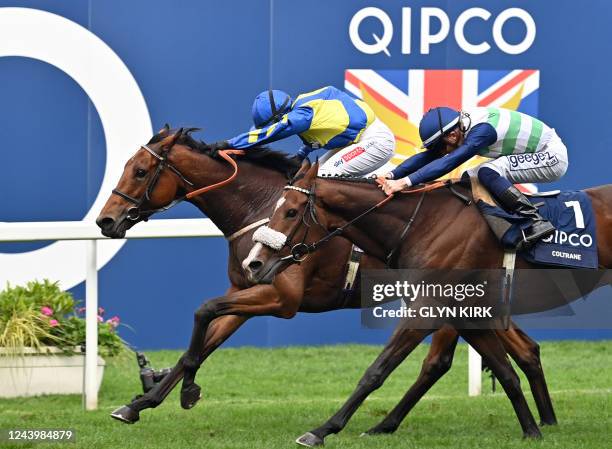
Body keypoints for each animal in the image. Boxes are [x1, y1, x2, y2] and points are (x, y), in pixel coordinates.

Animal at [97, 127, 560, 440]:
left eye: (140, 171)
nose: (105, 221)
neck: (263, 209)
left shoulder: (279, 297)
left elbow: (204, 314)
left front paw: (181, 392)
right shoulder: (246, 287)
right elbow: (202, 339)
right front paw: (141, 403)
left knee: (440, 361)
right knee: (525, 350)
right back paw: (546, 420)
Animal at [246, 159, 612, 440]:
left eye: (291, 212)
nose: (254, 263)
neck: (424, 224)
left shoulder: (429, 308)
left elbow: (377, 370)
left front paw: (322, 430)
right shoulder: (467, 312)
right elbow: (504, 370)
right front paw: (532, 430)